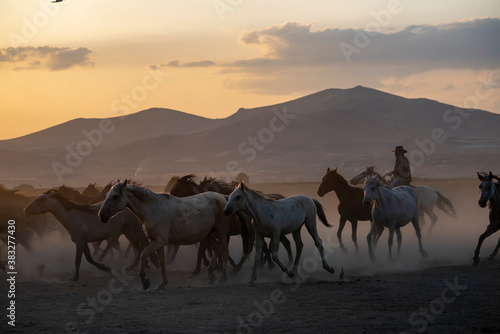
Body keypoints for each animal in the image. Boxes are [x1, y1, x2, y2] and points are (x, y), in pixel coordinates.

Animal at [98, 180, 232, 290]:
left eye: (115, 196)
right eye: (107, 195)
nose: (101, 215)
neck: (152, 210)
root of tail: (223, 197)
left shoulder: (159, 241)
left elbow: (143, 254)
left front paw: (145, 281)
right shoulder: (158, 243)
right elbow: (162, 263)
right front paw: (162, 284)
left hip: (221, 233)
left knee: (224, 252)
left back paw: (223, 278)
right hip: (206, 235)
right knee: (216, 249)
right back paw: (211, 276)